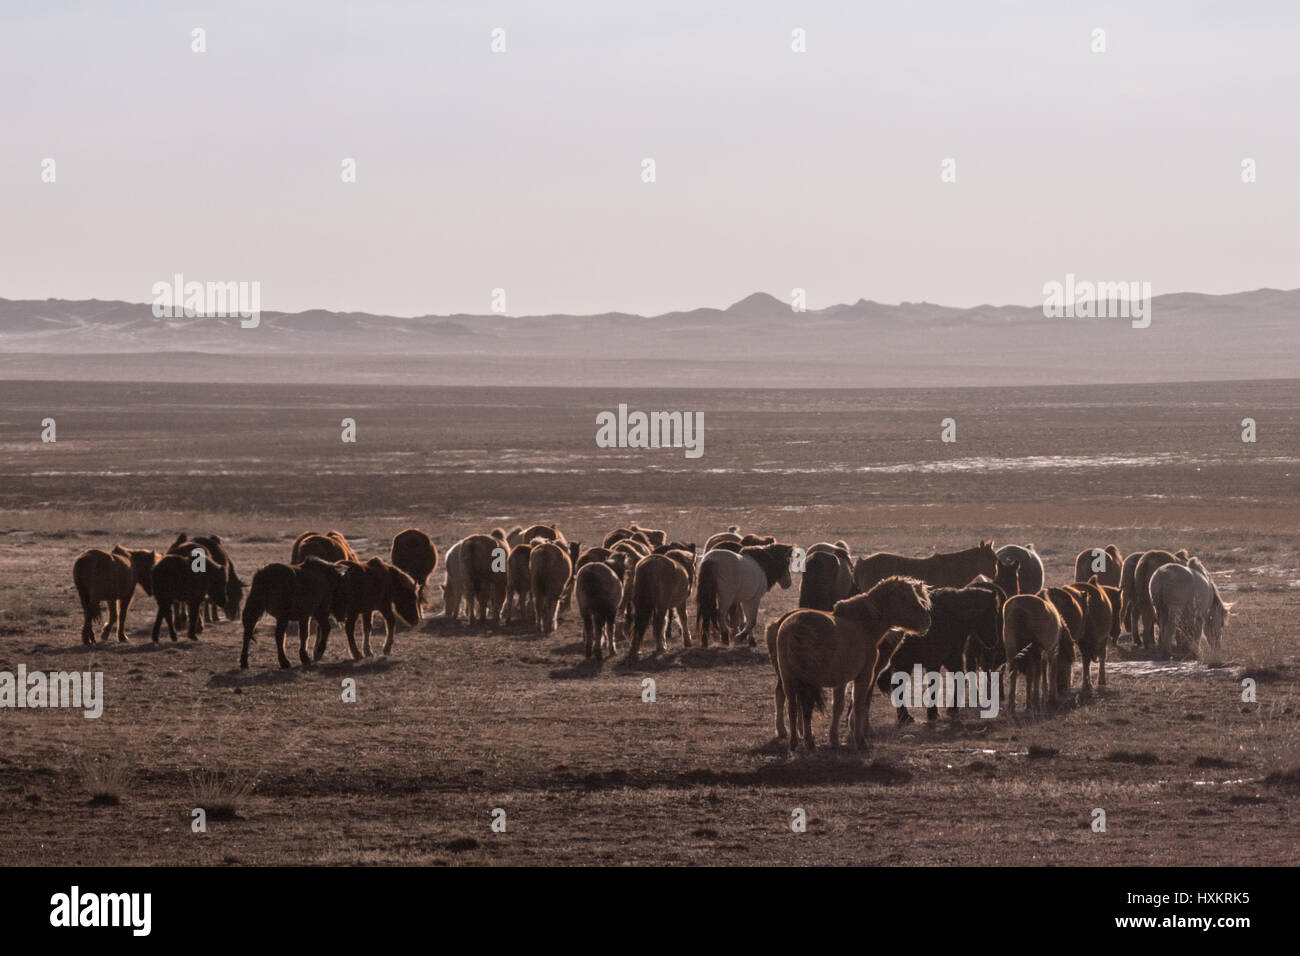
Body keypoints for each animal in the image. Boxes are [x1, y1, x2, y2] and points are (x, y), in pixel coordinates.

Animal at [769, 574, 935, 754]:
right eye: (905, 597)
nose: (927, 621)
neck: (863, 624)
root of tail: (793, 627)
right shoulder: (864, 676)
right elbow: (859, 704)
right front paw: (860, 740)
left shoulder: (841, 681)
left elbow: (838, 707)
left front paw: (834, 740)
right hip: (806, 681)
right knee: (805, 708)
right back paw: (808, 742)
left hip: (788, 678)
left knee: (792, 707)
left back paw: (794, 743)